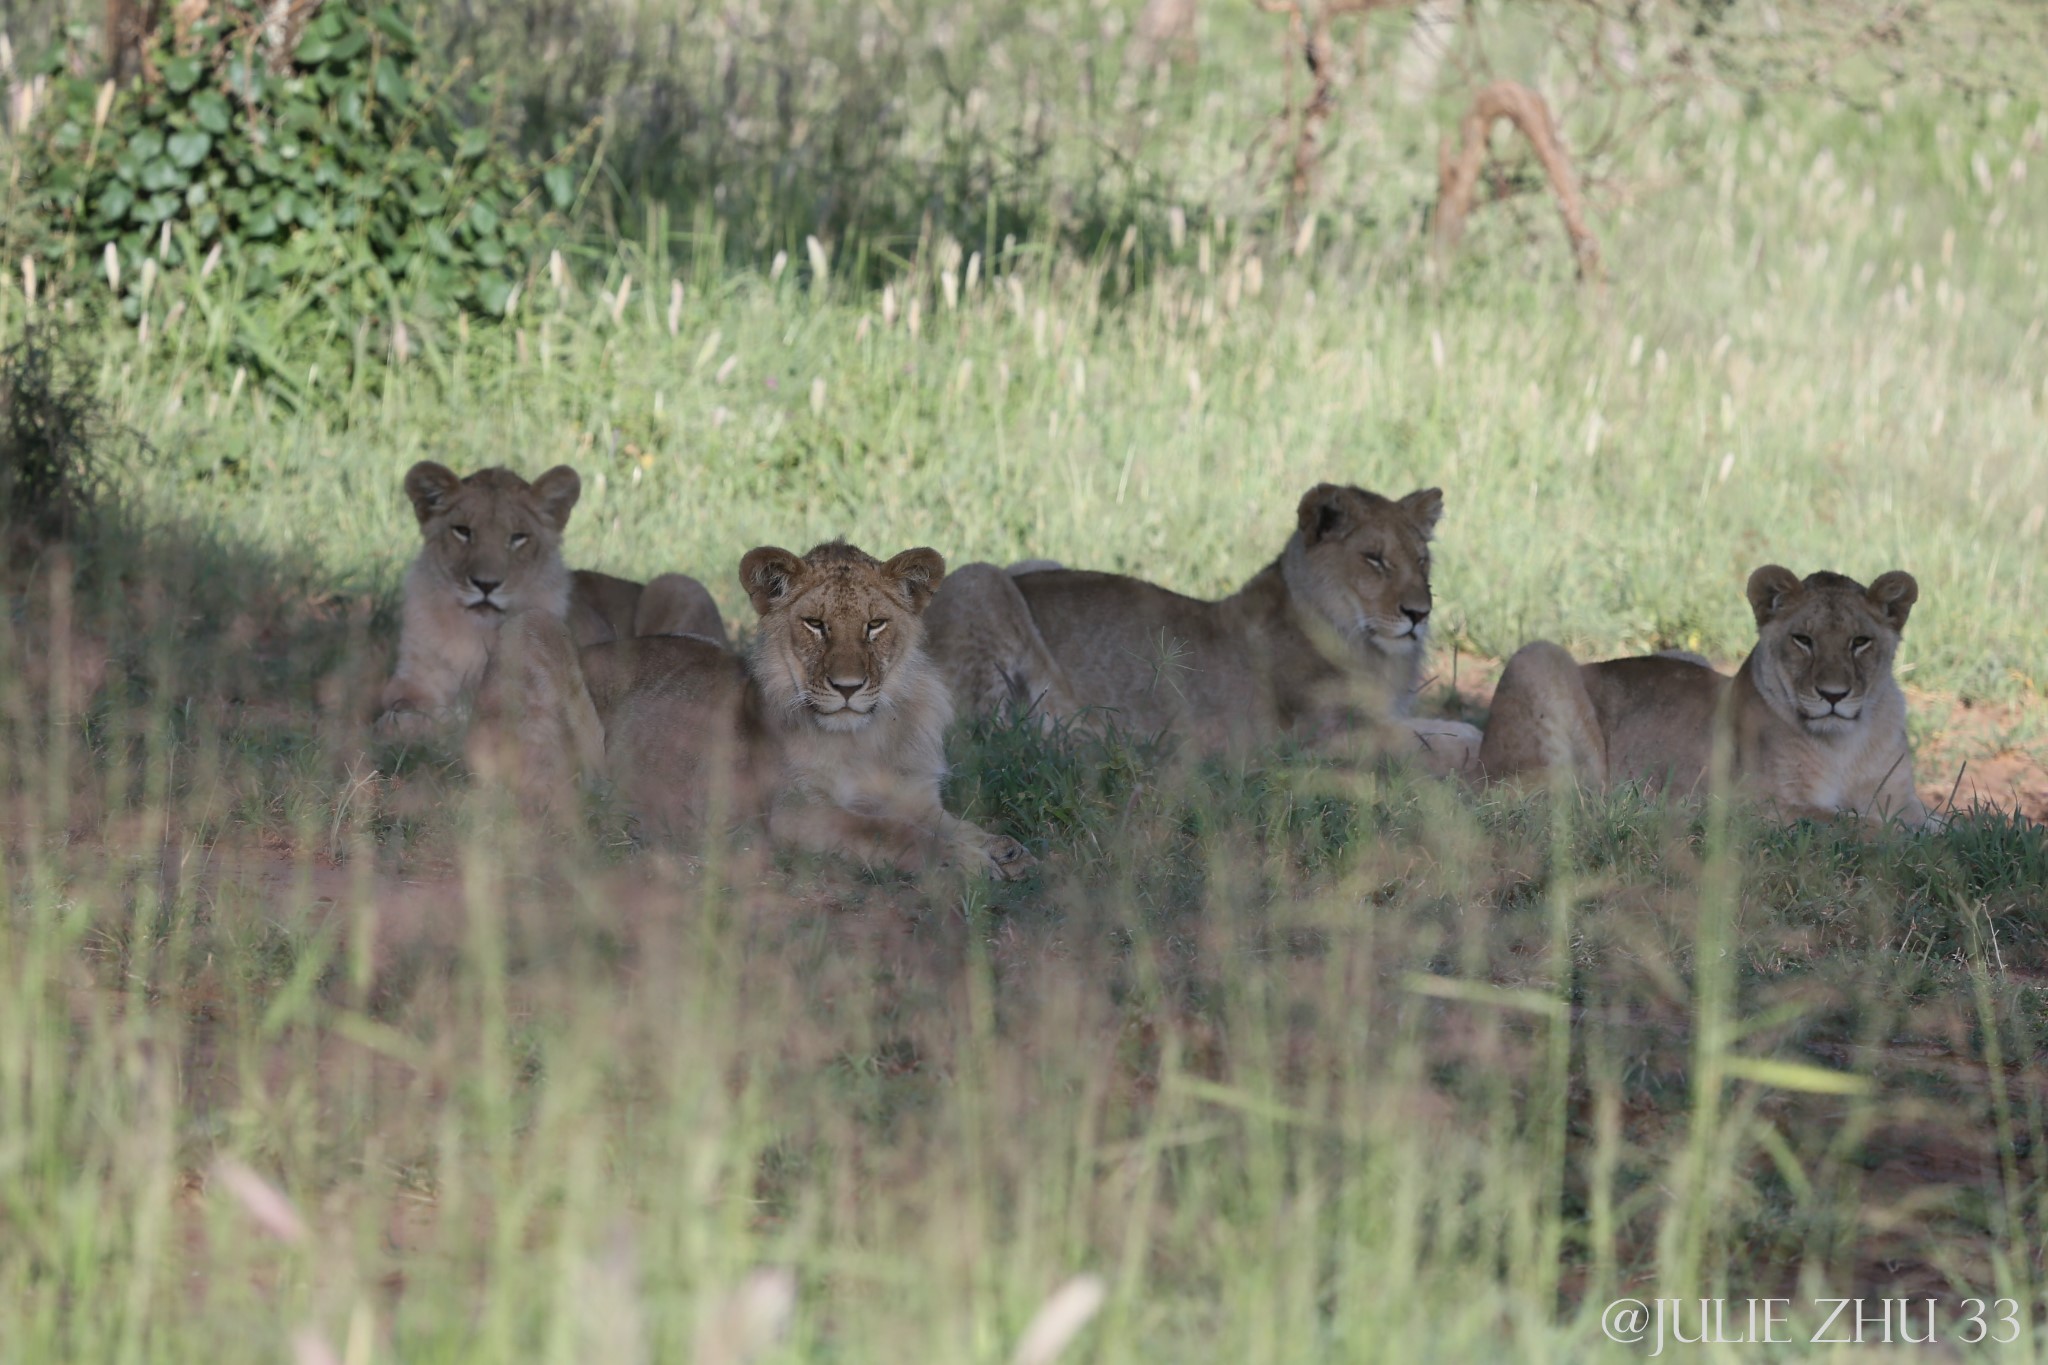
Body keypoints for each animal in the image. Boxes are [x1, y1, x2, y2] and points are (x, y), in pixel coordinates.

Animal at [376, 458, 729, 736]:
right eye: (462, 531)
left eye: (518, 538)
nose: (486, 585)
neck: (475, 633)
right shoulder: (414, 676)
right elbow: (395, 702)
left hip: (678, 584)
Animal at [483, 540, 1040, 879]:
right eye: (815, 624)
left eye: (875, 625)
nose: (847, 688)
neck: (866, 738)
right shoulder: (795, 813)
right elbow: (892, 831)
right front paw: (967, 860)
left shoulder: (915, 795)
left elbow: (948, 822)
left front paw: (1002, 847)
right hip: (531, 627)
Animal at [921, 485, 1482, 773]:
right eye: (1374, 559)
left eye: (1421, 560)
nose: (1419, 613)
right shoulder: (1309, 738)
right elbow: (1423, 740)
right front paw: (1463, 744)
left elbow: (1434, 726)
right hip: (979, 579)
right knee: (985, 738)